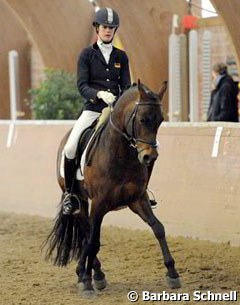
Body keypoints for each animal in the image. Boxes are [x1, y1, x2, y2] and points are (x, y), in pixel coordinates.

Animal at [44, 80, 180, 294]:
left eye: (160, 120)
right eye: (142, 119)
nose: (149, 157)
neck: (121, 153)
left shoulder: (138, 199)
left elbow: (158, 228)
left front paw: (172, 273)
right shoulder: (99, 204)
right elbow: (93, 241)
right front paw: (86, 280)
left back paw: (94, 274)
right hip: (79, 201)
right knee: (86, 233)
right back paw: (90, 274)